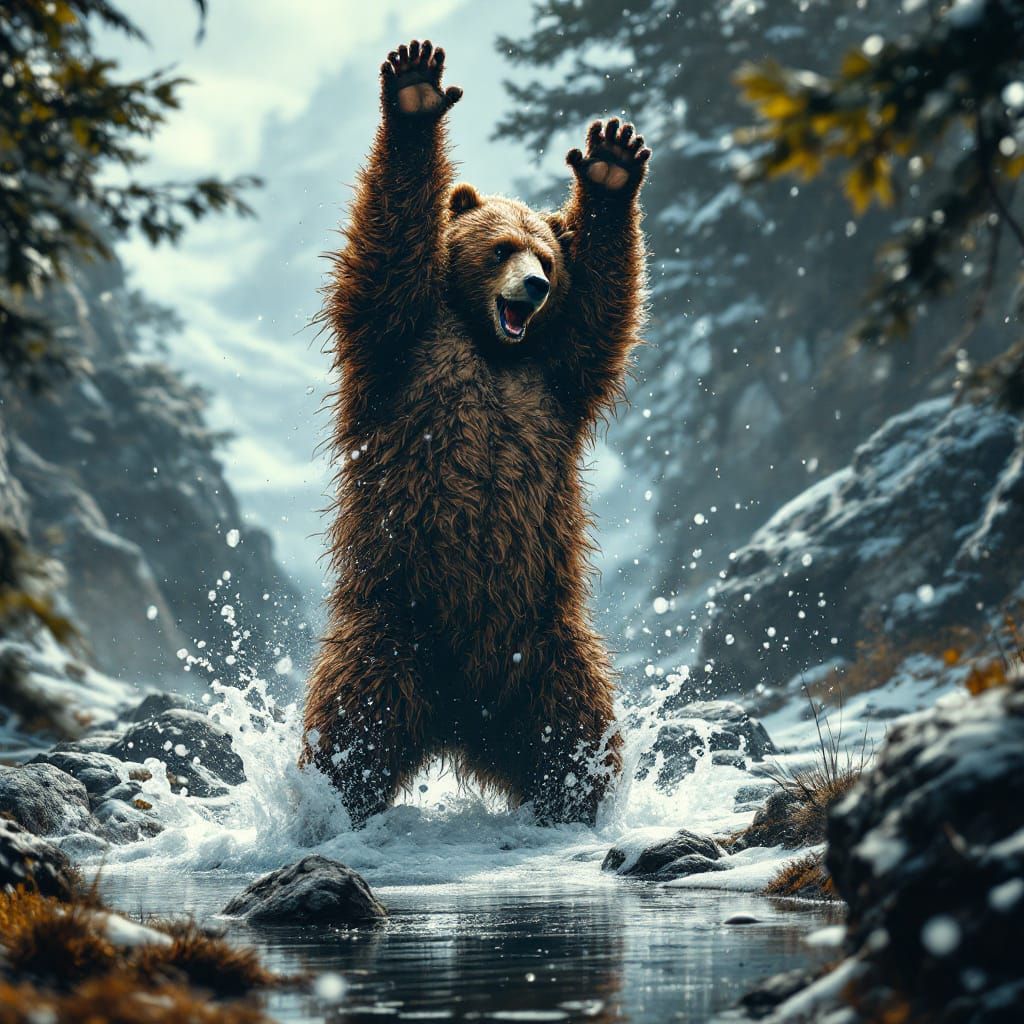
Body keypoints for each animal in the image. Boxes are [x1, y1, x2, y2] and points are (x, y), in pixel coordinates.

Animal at [303, 39, 651, 828]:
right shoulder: (402, 344)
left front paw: (611, 167)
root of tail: (462, 716)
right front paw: (412, 93)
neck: (491, 345)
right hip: (393, 619)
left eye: (544, 256)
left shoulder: (556, 376)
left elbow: (603, 310)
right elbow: (389, 244)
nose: (535, 288)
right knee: (354, 718)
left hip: (545, 639)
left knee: (575, 729)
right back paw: (326, 801)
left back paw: (579, 800)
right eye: (499, 249)